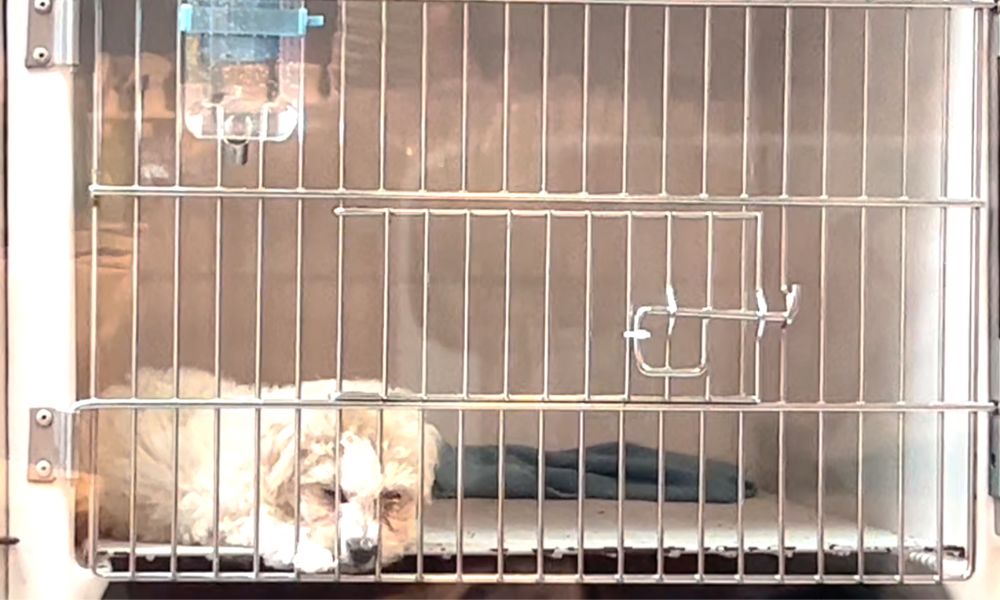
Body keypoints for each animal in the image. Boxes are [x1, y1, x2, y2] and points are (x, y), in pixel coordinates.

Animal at [84, 366, 444, 572]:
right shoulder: (215, 508)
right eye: (331, 493)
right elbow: (267, 525)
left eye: (392, 496)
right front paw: (310, 554)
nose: (363, 550)